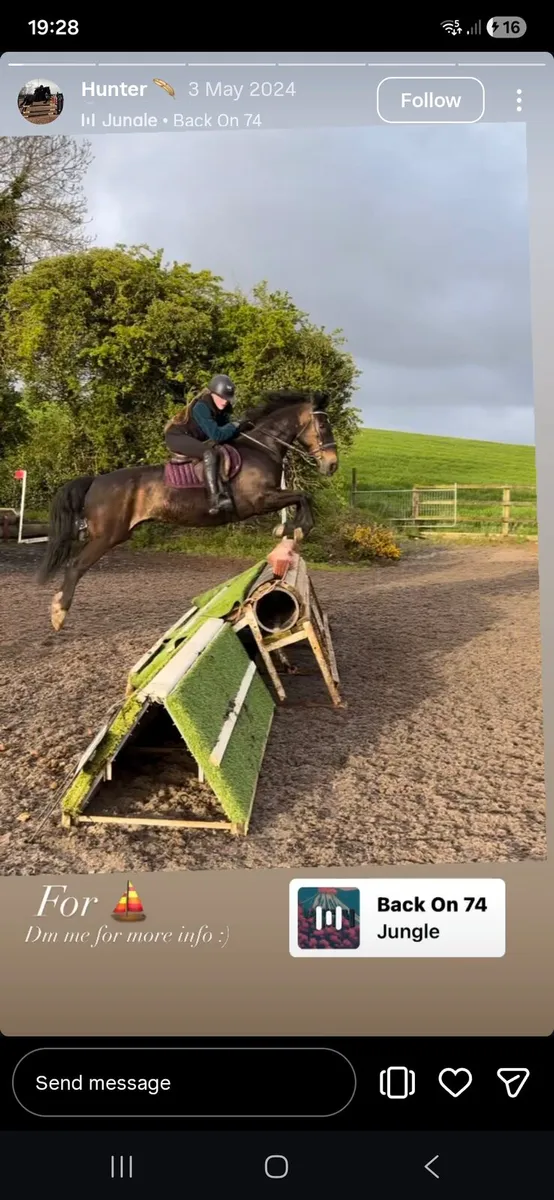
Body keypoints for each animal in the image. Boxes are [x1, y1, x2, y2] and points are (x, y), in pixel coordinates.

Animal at [37, 389, 338, 631]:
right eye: (323, 424)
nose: (332, 465)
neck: (262, 448)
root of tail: (95, 481)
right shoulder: (260, 500)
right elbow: (303, 496)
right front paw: (295, 529)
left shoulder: (268, 498)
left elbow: (301, 498)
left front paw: (289, 529)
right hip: (107, 536)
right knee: (75, 566)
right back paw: (58, 614)